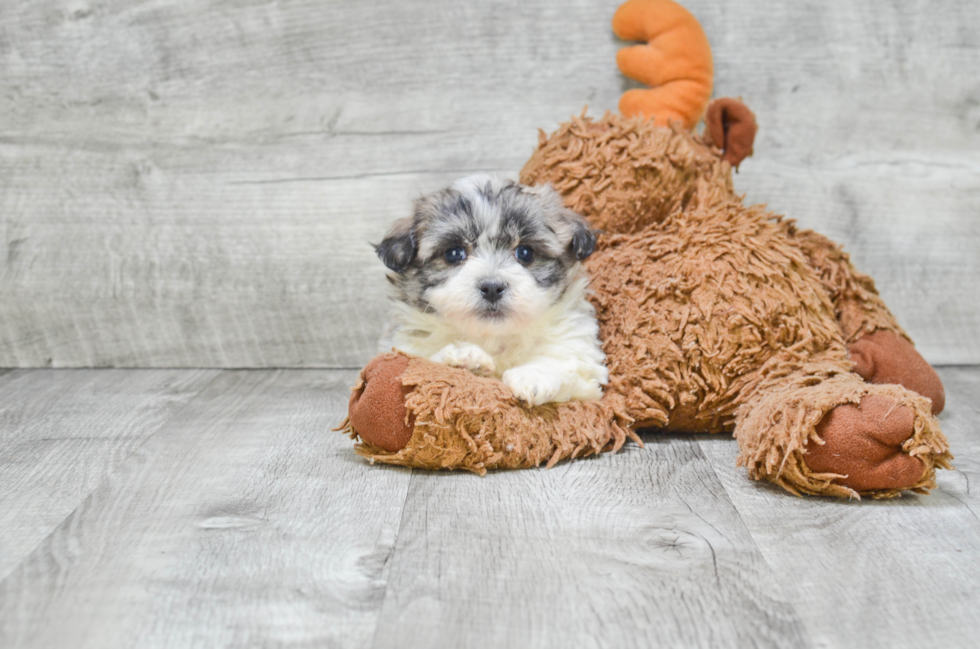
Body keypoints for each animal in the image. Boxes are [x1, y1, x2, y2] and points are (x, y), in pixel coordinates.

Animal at [378, 173, 608, 404]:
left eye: (525, 253)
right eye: (454, 253)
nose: (491, 287)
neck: (493, 338)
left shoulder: (582, 365)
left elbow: (563, 363)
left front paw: (533, 376)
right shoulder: (403, 348)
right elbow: (424, 362)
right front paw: (463, 356)